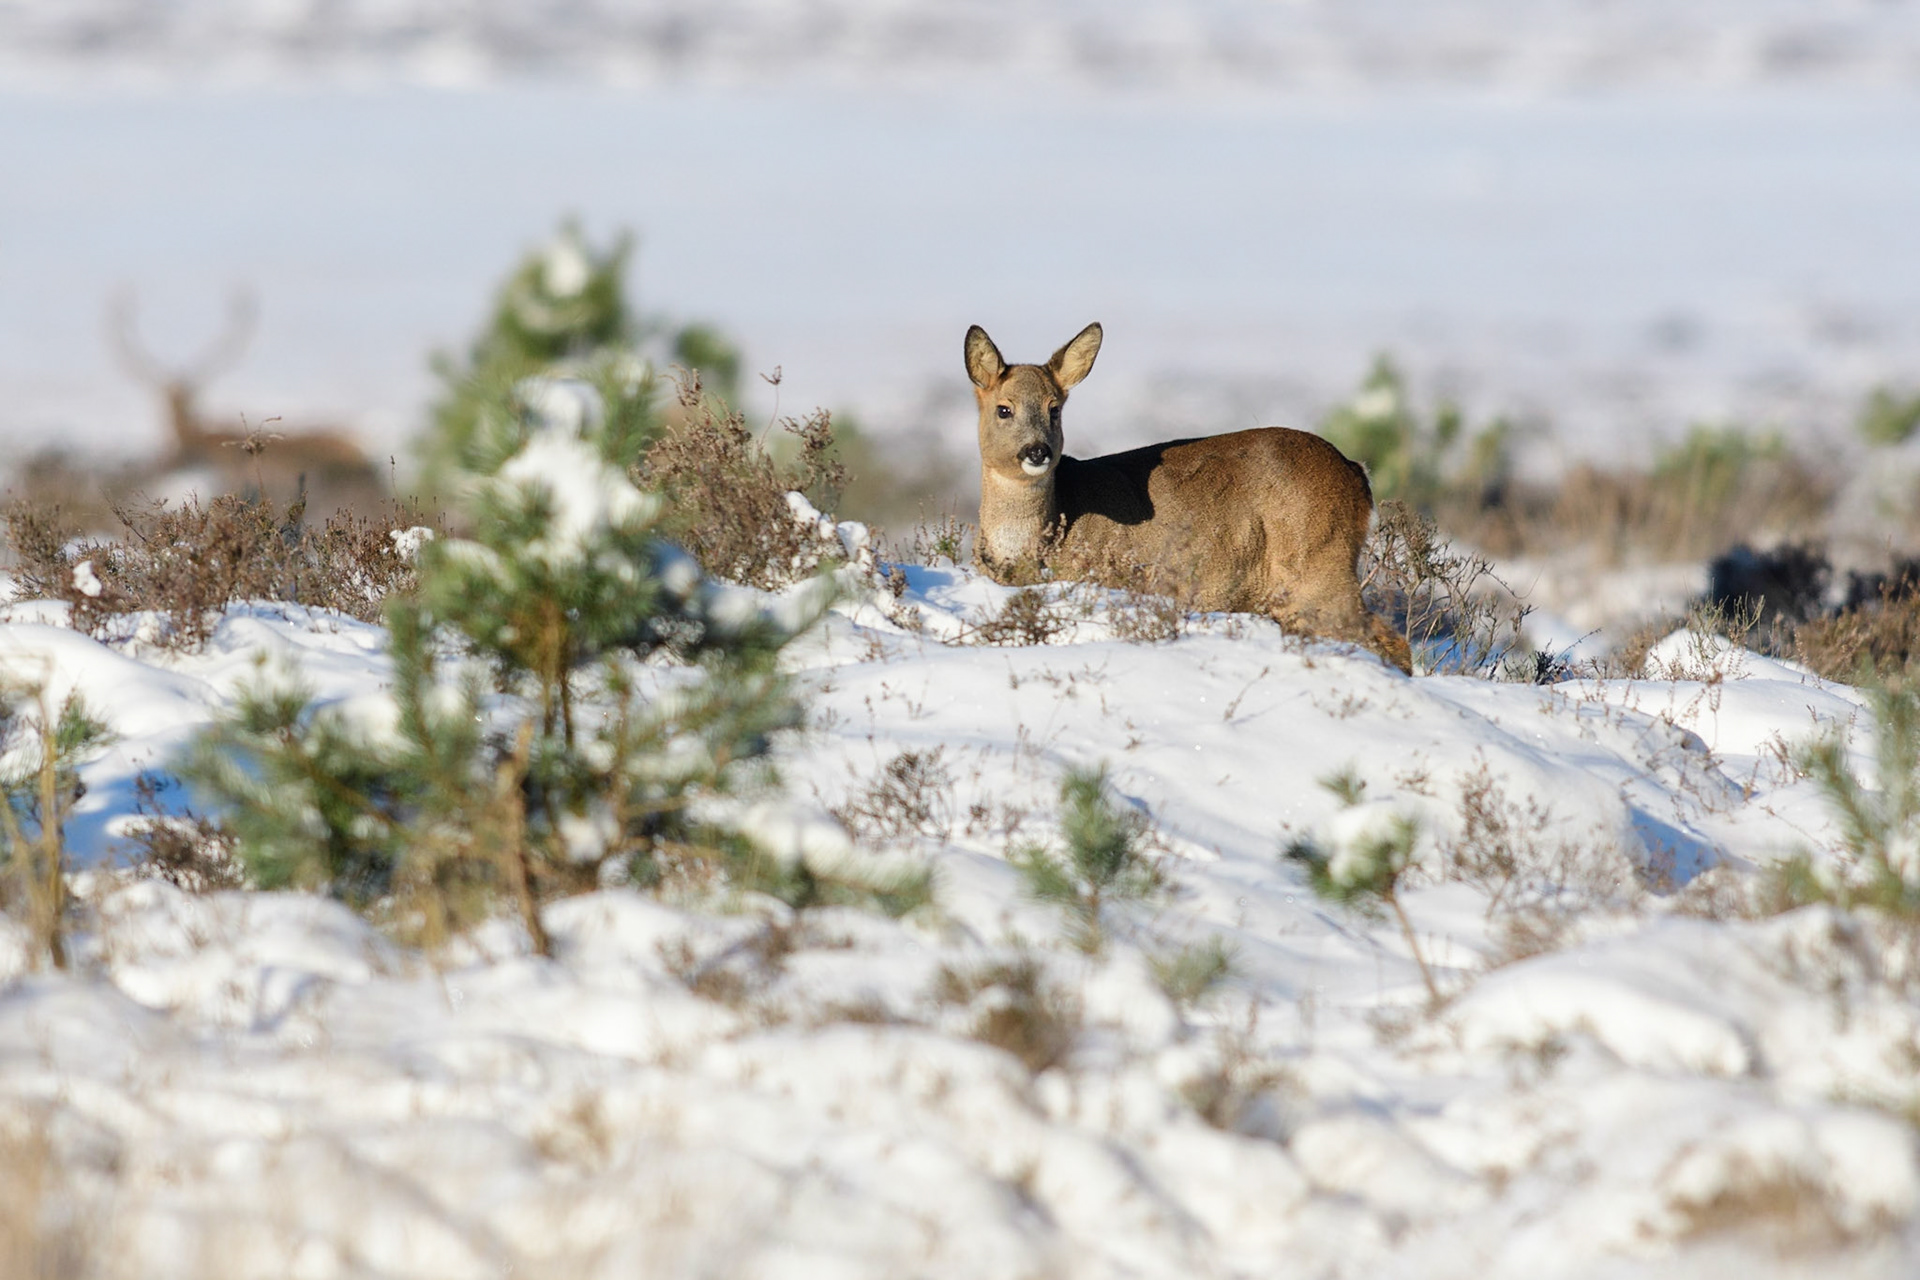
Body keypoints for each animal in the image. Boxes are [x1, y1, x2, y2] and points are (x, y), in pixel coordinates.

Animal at [965, 322, 1412, 673]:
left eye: (1054, 408)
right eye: (1004, 409)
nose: (1037, 451)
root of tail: (1357, 472)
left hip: (1317, 567)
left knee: (1390, 641)